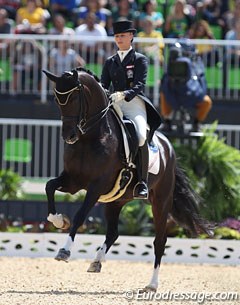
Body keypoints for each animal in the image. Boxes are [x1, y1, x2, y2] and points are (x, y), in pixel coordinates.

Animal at [43, 67, 212, 290]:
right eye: (57, 99)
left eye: (74, 98)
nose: (69, 136)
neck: (90, 137)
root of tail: (169, 147)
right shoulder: (73, 180)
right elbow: (49, 186)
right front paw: (59, 220)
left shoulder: (96, 186)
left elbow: (79, 216)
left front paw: (64, 251)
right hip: (116, 200)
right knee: (113, 232)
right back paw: (96, 262)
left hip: (161, 202)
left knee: (159, 241)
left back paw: (152, 284)